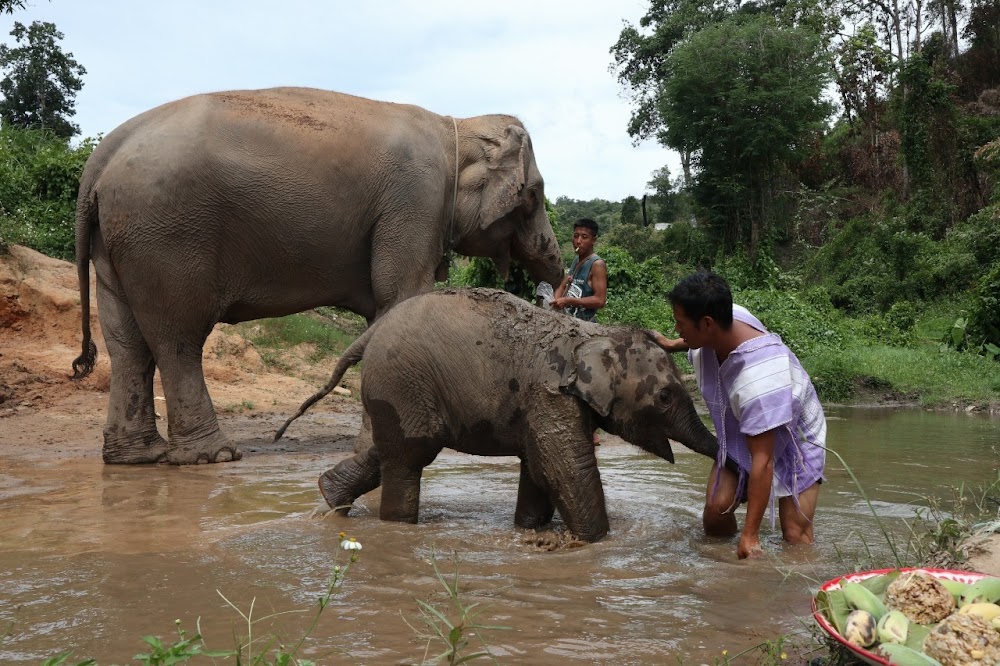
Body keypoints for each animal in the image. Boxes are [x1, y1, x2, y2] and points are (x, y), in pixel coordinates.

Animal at [70, 87, 568, 462]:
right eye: (535, 193)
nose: (555, 287)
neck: (456, 126)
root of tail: (100, 158)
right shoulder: (416, 201)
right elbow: (401, 298)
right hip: (165, 235)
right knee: (178, 338)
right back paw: (213, 456)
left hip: (119, 241)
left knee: (127, 341)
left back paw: (136, 457)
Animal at [278, 288, 724, 544]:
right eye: (664, 397)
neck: (594, 334)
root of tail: (369, 332)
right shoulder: (550, 392)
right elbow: (565, 467)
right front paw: (596, 545)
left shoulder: (542, 402)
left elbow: (538, 468)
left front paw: (530, 532)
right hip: (402, 380)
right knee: (410, 455)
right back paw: (396, 528)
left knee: (393, 449)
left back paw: (329, 499)